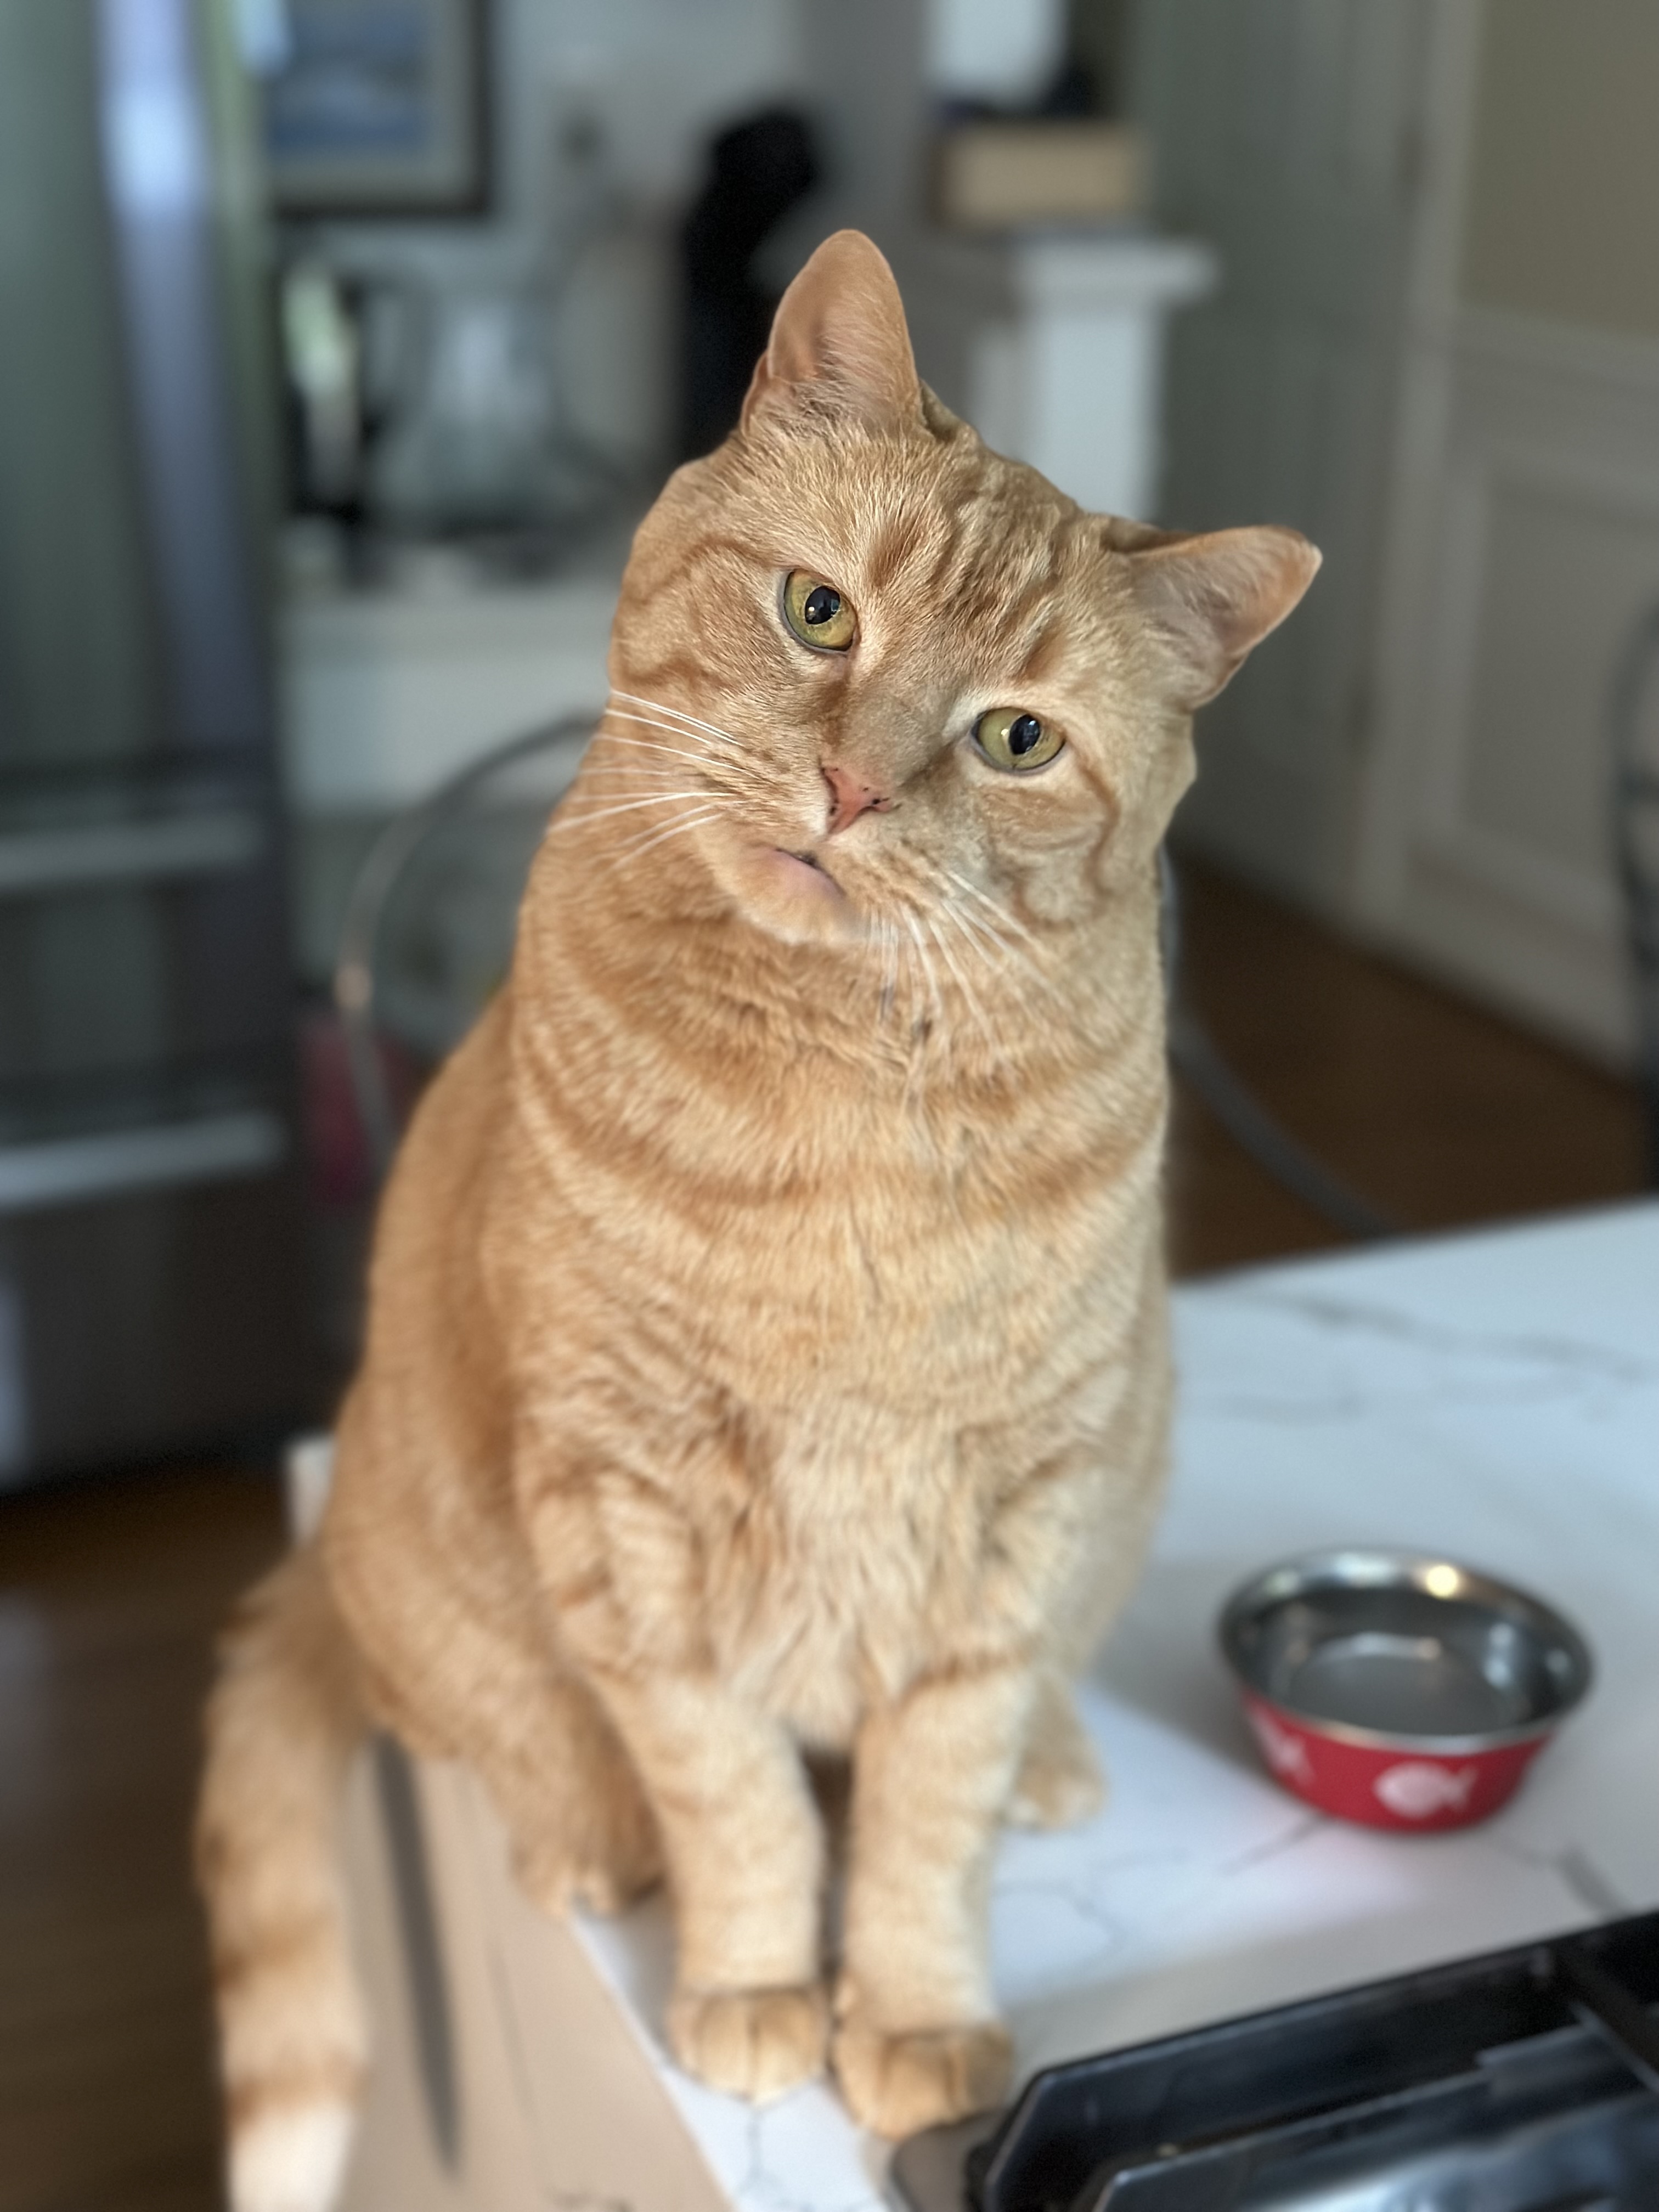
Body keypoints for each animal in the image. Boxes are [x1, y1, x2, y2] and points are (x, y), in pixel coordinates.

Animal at [194, 233, 1318, 2203]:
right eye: (817, 615)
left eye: (1014, 739)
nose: (852, 789)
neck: (842, 1105)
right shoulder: (627, 1515)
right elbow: (733, 1800)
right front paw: (748, 1983)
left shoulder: (1017, 1511)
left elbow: (930, 1812)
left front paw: (920, 2025)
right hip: (445, 1580)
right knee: (508, 1730)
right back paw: (588, 1833)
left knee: (1029, 1703)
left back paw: (1056, 1761)